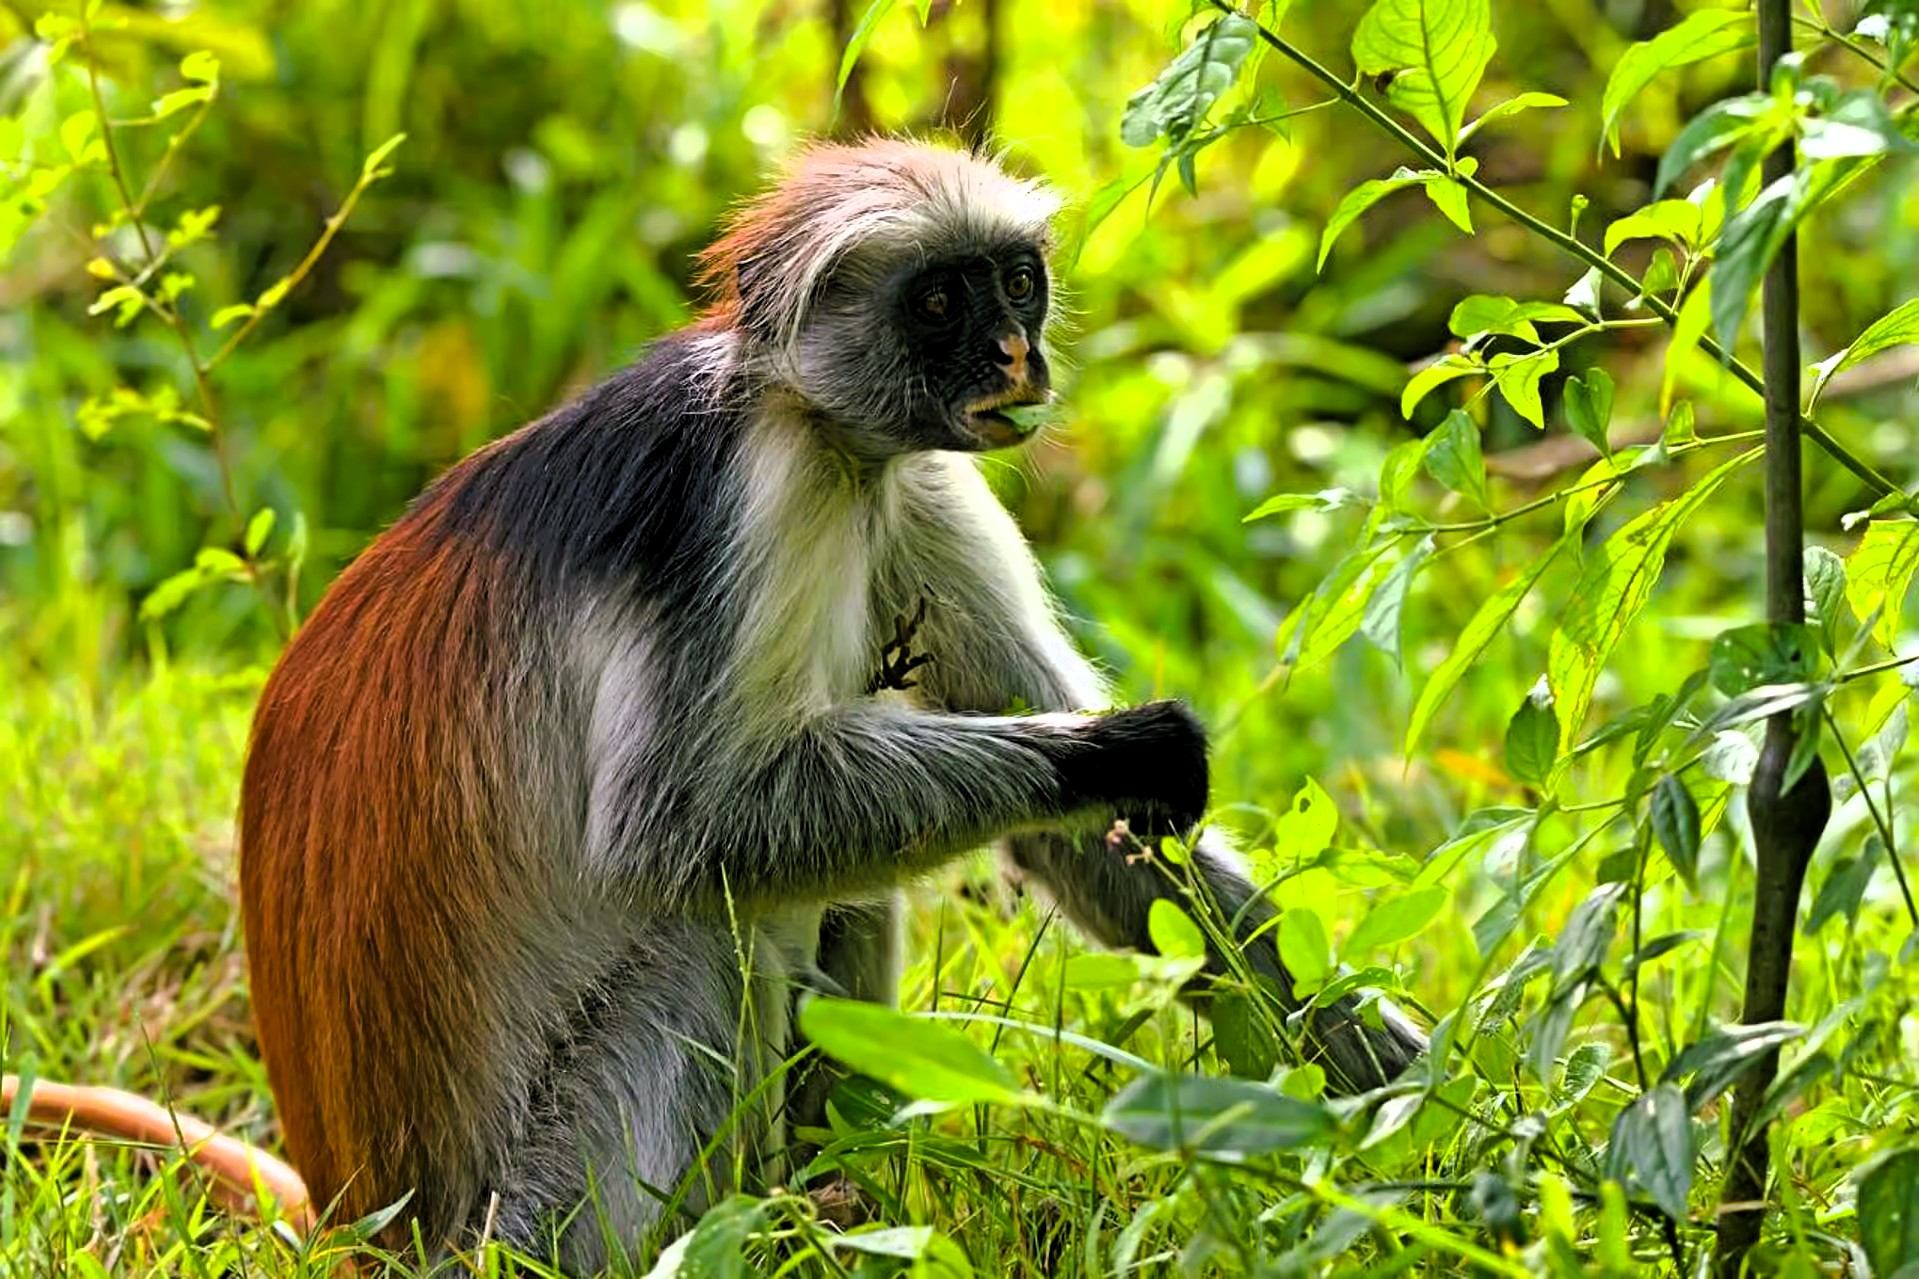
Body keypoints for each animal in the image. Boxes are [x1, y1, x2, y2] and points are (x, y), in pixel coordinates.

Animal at [5, 139, 1422, 1272]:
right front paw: (1118, 748)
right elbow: (677, 830)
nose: (1016, 355)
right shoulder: (740, 494)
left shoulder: (909, 480)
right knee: (704, 917)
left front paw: (1436, 1126)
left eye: (1015, 280)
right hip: (535, 1211)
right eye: (942, 298)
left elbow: (1099, 851)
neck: (809, 420)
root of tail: (370, 1220)